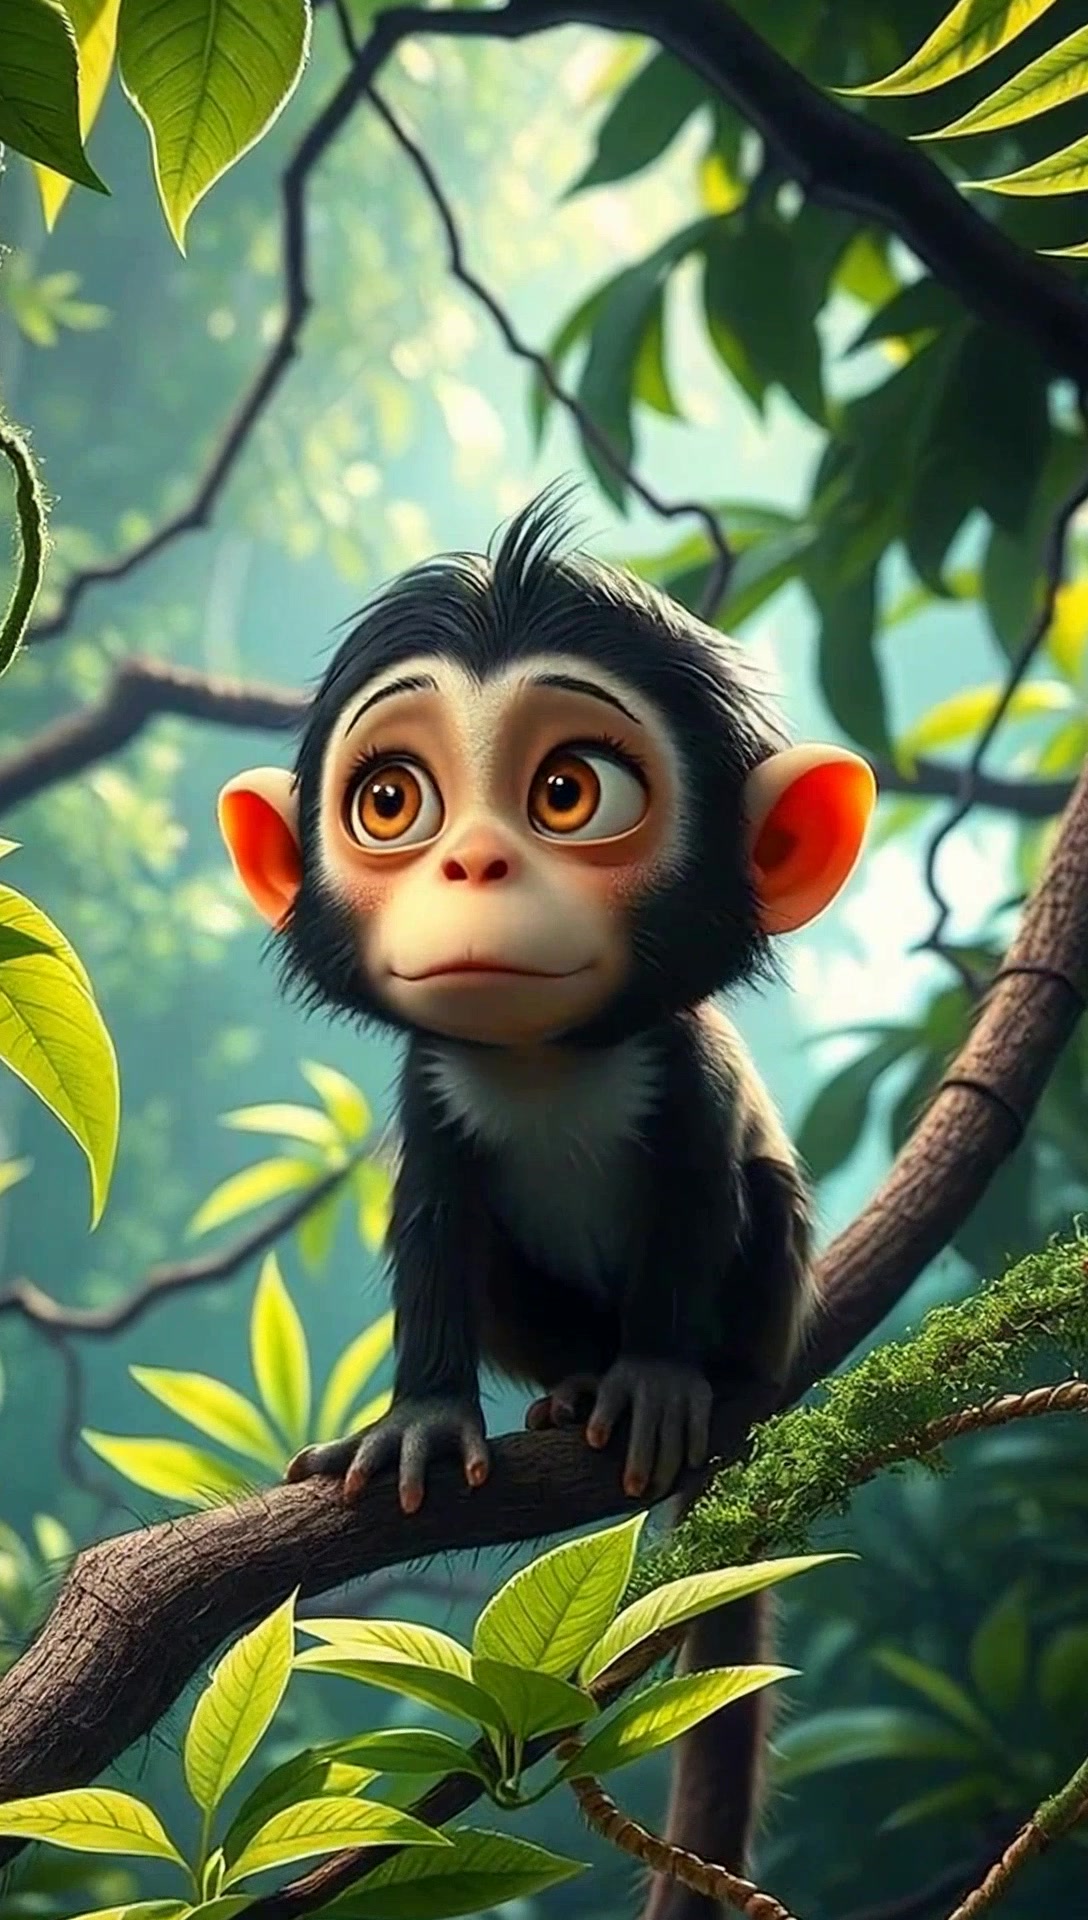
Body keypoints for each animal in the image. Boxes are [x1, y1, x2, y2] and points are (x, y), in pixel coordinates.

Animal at [217, 488, 875, 1913]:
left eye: (570, 792)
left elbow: (697, 1189)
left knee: (758, 1194)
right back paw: (571, 1388)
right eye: (390, 801)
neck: (541, 1060)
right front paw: (418, 1423)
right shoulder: (430, 1082)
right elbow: (433, 1228)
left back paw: (687, 1383)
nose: (471, 862)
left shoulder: (681, 1065)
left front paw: (661, 1382)